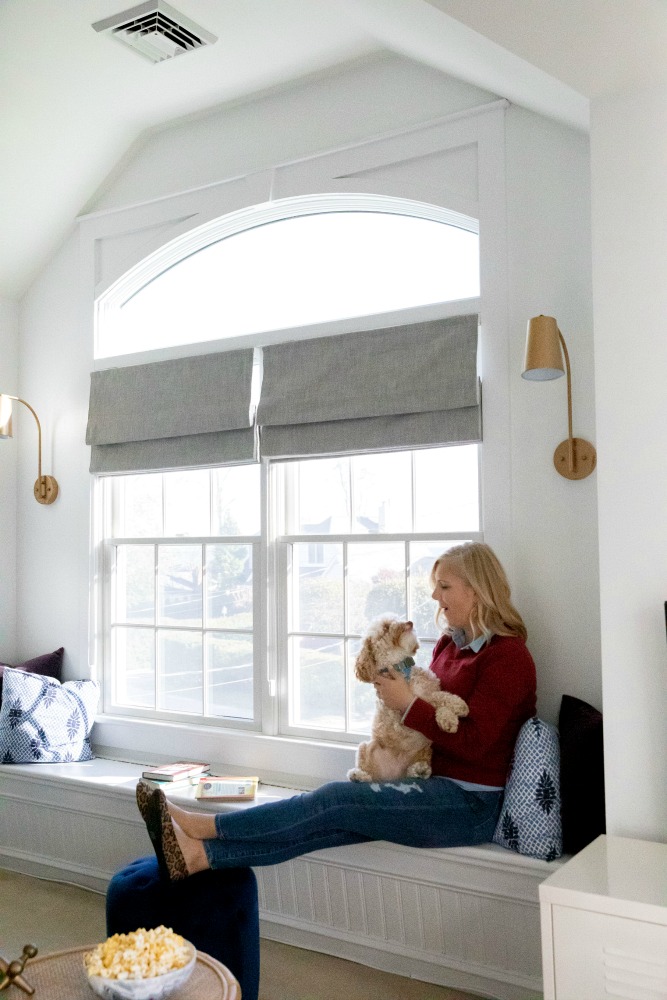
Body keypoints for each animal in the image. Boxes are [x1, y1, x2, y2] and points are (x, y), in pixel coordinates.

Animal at [350, 612, 470, 784]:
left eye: (396, 619)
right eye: (386, 627)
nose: (409, 623)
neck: (403, 671)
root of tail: (392, 776)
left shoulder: (430, 689)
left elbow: (441, 696)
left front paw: (456, 709)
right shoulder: (398, 716)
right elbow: (432, 700)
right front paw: (451, 717)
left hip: (425, 751)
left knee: (414, 770)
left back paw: (420, 770)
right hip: (365, 747)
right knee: (368, 773)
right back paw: (359, 775)